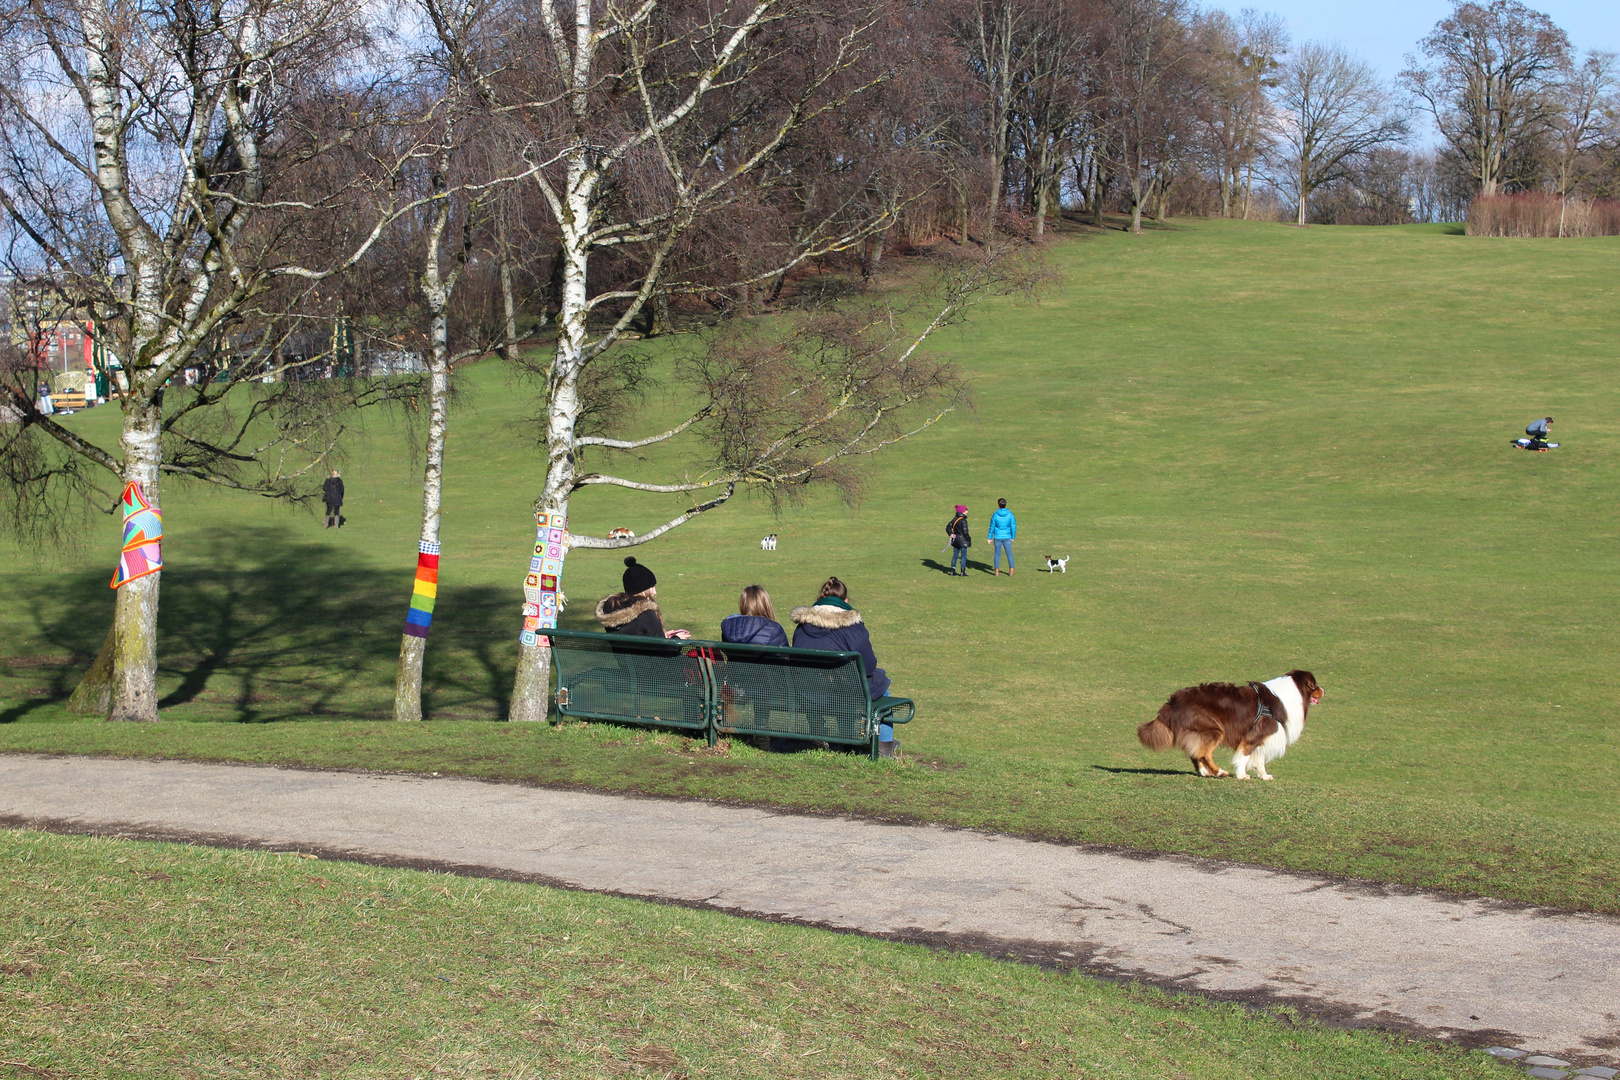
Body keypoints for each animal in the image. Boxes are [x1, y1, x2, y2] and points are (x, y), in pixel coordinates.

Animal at [1146, 670, 1321, 780]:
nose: (1324, 690)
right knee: (1204, 754)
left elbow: (1260, 760)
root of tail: (1172, 702)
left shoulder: (1261, 738)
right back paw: (1220, 772)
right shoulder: (1253, 736)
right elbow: (1244, 756)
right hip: (1214, 729)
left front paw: (1264, 776)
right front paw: (1242, 775)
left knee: (1196, 753)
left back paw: (1205, 772)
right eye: (1315, 684)